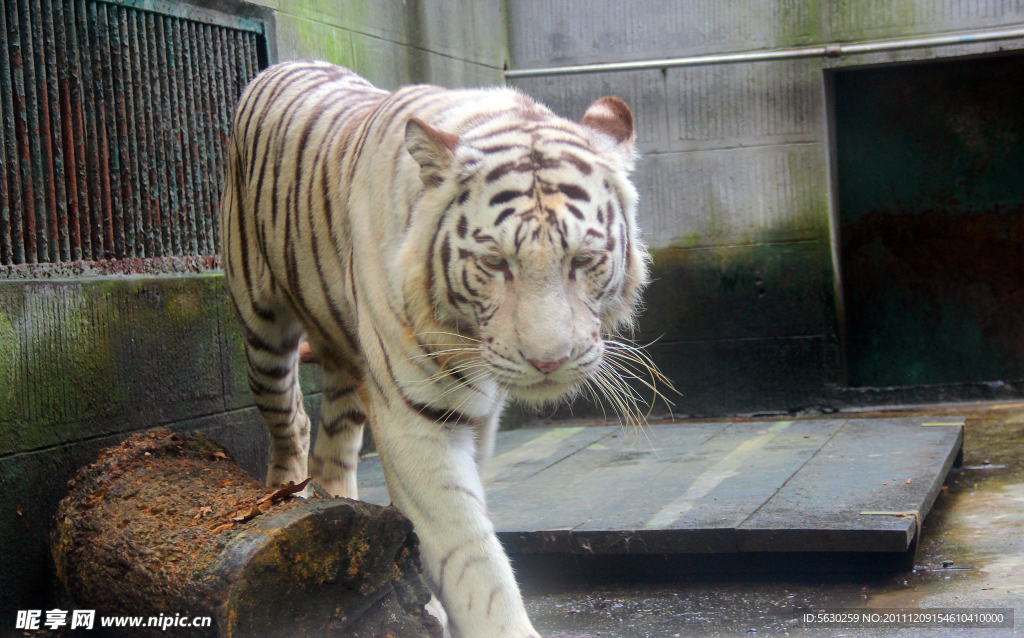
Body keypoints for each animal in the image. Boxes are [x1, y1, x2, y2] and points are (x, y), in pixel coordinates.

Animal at [221, 61, 651, 638]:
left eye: (583, 259)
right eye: (495, 263)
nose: (548, 361)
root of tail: (281, 65)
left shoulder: (478, 418)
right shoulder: (419, 420)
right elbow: (471, 557)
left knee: (334, 447)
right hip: (261, 326)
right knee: (291, 424)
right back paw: (285, 497)